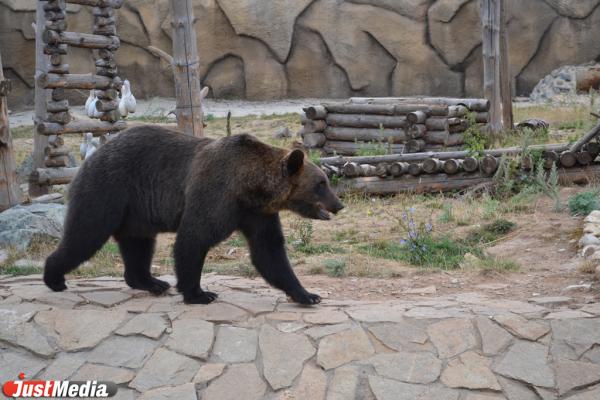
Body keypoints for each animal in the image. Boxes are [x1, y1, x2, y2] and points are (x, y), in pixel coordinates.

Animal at [43, 126, 342, 304]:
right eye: (321, 184)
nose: (338, 204)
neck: (249, 187)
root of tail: (90, 158)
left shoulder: (256, 214)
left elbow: (269, 252)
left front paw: (308, 294)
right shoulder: (215, 193)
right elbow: (194, 239)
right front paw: (200, 293)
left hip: (136, 211)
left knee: (138, 243)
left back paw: (152, 282)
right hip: (109, 189)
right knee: (86, 234)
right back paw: (54, 278)